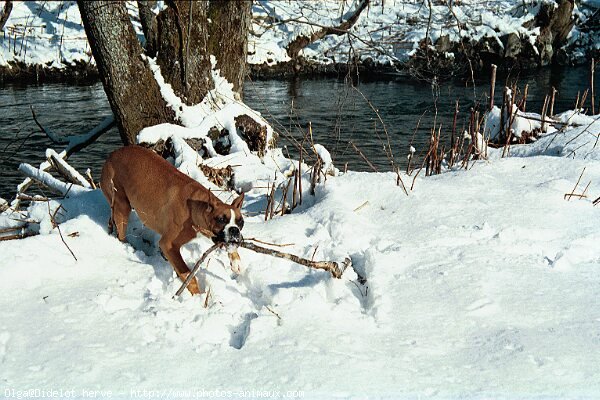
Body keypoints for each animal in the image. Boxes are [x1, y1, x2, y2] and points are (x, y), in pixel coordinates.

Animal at [101, 145, 244, 296]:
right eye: (221, 220)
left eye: (241, 222)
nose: (234, 230)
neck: (194, 208)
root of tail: (112, 154)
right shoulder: (168, 244)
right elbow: (188, 275)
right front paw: (197, 296)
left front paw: (236, 260)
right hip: (122, 206)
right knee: (121, 233)